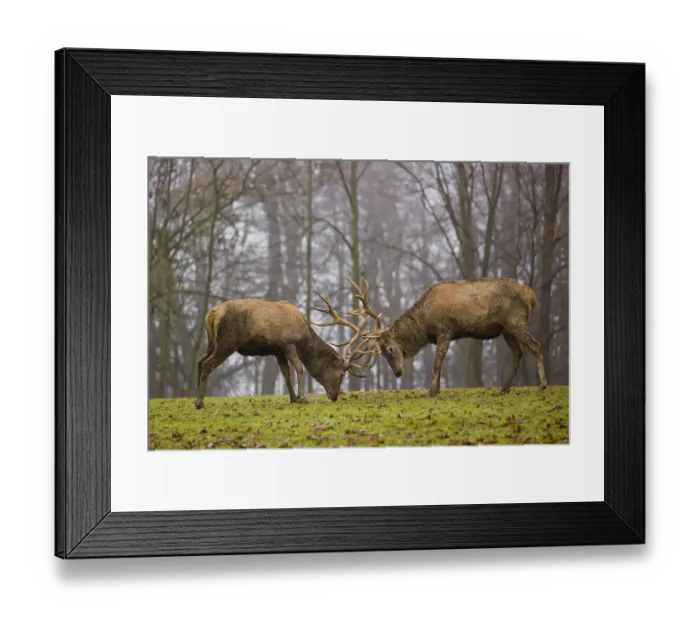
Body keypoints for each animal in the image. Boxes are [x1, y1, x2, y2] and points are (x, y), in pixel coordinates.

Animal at [193, 293, 375, 410]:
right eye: (342, 374)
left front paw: (293, 398)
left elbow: (286, 373)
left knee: (200, 360)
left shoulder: (278, 350)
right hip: (227, 343)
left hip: (212, 342)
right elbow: (299, 368)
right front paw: (302, 398)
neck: (303, 337)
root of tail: (212, 314)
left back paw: (195, 398)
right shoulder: (288, 343)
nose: (334, 396)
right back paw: (200, 403)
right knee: (207, 364)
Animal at [346, 277, 548, 397]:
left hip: (515, 321)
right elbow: (441, 364)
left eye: (389, 348)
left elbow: (437, 362)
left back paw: (543, 385)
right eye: (380, 352)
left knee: (536, 345)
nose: (397, 372)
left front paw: (430, 391)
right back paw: (504, 388)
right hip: (506, 328)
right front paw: (437, 390)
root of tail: (531, 296)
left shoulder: (444, 329)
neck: (425, 325)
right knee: (518, 352)